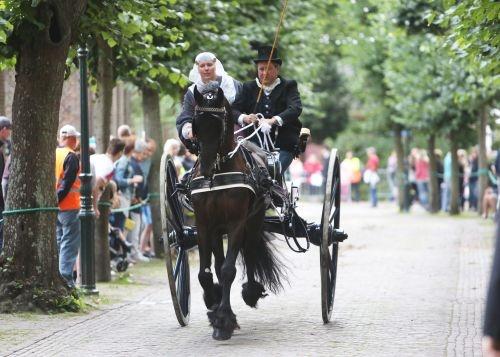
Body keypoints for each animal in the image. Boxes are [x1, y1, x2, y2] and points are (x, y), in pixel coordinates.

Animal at [191, 82, 286, 340]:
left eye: (219, 122)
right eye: (195, 123)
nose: (205, 167)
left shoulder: (236, 222)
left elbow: (227, 270)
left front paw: (223, 320)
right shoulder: (204, 224)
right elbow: (205, 273)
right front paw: (213, 302)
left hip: (252, 221)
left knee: (250, 249)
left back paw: (251, 291)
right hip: (218, 230)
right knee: (218, 262)